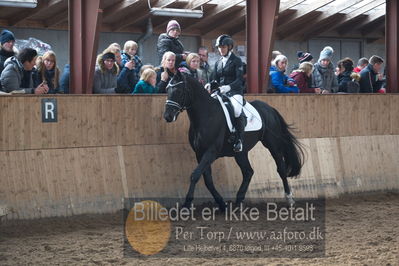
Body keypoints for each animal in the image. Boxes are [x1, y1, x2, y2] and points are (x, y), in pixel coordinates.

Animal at [162, 71, 304, 209]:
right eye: (167, 89)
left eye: (179, 91)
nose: (168, 116)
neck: (206, 116)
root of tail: (269, 109)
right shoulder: (199, 153)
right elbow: (208, 180)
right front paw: (222, 204)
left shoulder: (211, 152)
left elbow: (195, 175)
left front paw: (187, 204)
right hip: (241, 153)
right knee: (248, 172)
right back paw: (238, 201)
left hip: (272, 145)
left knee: (280, 169)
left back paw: (289, 199)